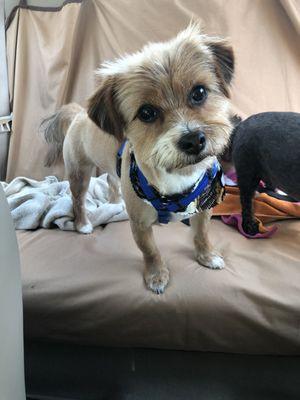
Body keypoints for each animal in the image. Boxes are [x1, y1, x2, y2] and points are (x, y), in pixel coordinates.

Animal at [42, 24, 234, 294]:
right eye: (146, 113)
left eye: (199, 92)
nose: (193, 140)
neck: (176, 179)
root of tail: (79, 114)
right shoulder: (141, 225)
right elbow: (151, 251)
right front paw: (156, 275)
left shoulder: (204, 208)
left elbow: (202, 235)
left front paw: (207, 256)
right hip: (79, 173)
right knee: (78, 200)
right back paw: (83, 224)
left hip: (113, 170)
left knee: (112, 182)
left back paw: (115, 203)